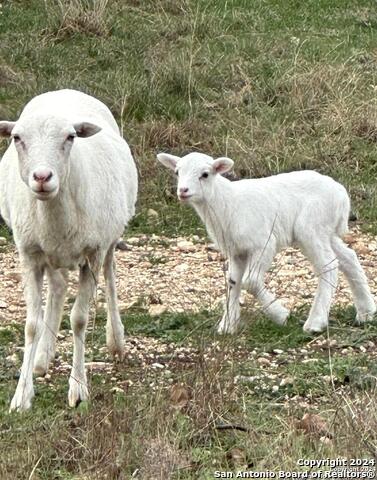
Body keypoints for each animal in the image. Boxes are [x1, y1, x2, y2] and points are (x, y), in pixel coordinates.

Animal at [0, 88, 137, 410]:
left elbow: (79, 319)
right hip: (50, 252)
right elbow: (31, 324)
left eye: (70, 137)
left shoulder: (92, 254)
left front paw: (78, 389)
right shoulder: (30, 255)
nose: (42, 177)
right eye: (17, 138)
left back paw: (116, 341)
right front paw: (21, 396)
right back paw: (42, 357)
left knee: (111, 276)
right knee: (59, 286)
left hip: (109, 237)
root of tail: (64, 91)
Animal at [157, 152, 374, 336]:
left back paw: (316, 322)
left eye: (205, 174)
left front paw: (280, 314)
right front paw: (227, 325)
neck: (226, 203)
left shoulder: (263, 244)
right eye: (177, 172)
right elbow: (233, 282)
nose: (183, 190)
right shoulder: (237, 251)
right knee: (348, 258)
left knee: (329, 265)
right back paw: (367, 312)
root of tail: (341, 194)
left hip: (311, 227)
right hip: (325, 231)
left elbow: (250, 282)